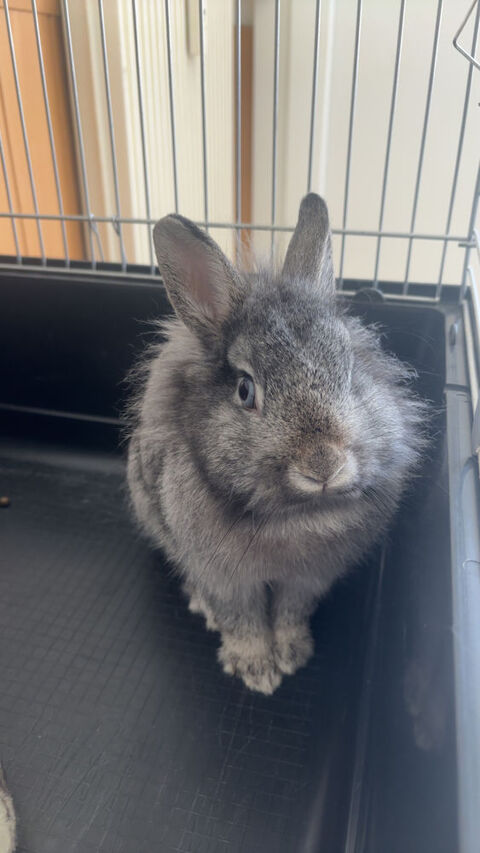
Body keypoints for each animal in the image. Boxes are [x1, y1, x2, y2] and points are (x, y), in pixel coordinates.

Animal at [126, 193, 426, 694]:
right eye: (246, 390)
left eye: (350, 371)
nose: (324, 464)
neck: (295, 515)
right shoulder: (224, 577)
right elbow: (241, 619)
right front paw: (257, 671)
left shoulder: (308, 578)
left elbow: (289, 613)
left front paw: (292, 653)